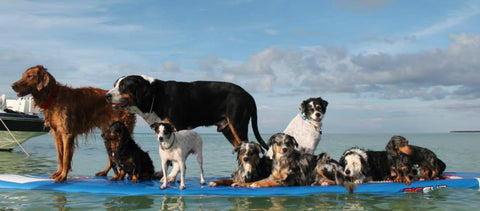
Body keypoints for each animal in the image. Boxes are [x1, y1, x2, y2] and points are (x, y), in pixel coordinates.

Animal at [105, 75, 268, 149]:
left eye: (123, 86)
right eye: (114, 84)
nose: (106, 95)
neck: (156, 96)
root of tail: (248, 95)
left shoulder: (178, 128)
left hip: (238, 126)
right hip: (228, 130)